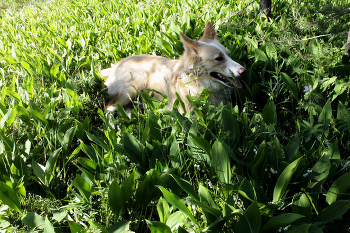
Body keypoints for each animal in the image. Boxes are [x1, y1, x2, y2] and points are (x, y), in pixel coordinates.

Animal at [100, 22, 245, 116]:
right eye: (219, 58)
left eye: (229, 55)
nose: (243, 71)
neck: (197, 83)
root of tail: (115, 66)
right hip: (135, 84)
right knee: (108, 108)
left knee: (125, 109)